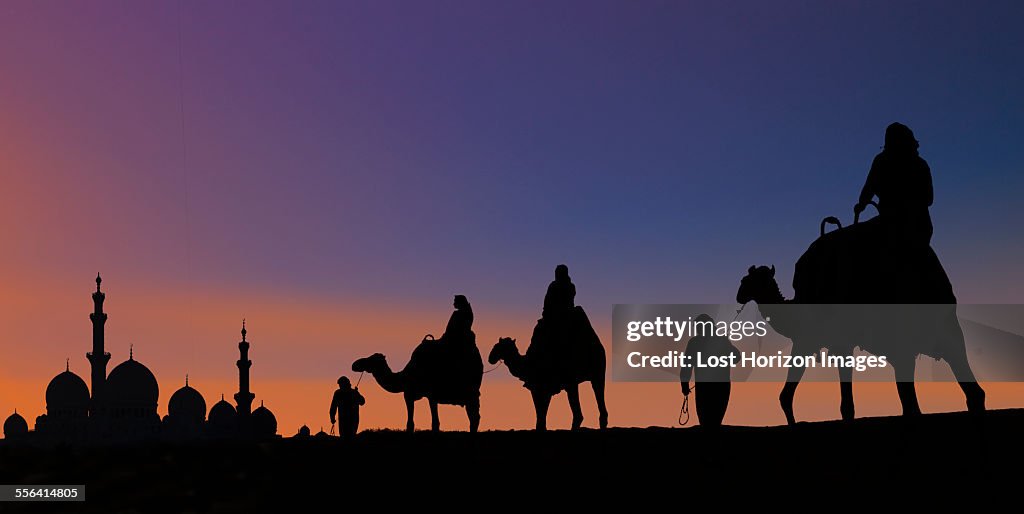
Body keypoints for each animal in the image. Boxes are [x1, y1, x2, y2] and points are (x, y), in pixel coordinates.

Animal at [350, 335, 481, 432]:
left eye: (370, 359)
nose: (354, 365)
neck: (405, 377)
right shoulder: (422, 395)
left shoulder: (415, 395)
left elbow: (418, 424)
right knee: (474, 417)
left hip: (470, 393)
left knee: (474, 417)